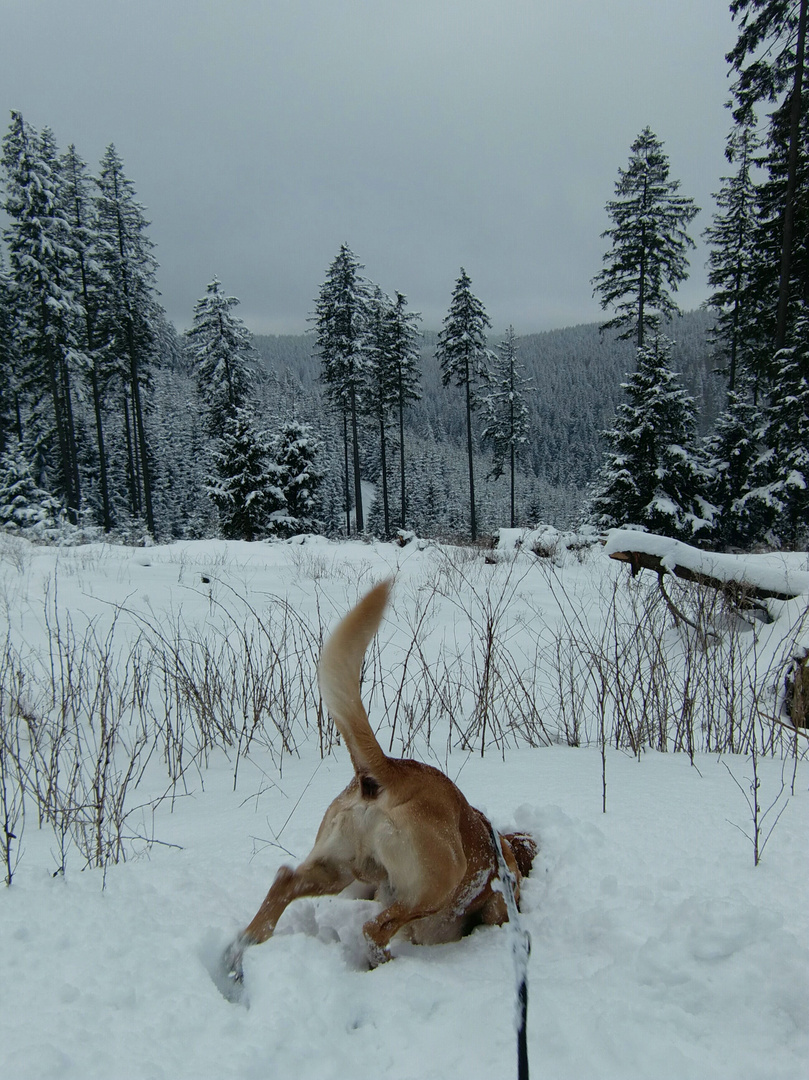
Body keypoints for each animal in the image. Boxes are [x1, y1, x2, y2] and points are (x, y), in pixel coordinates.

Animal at [223, 583, 533, 989]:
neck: (503, 846)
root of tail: (390, 771)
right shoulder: (495, 903)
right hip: (436, 883)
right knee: (375, 928)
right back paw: (383, 964)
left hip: (336, 868)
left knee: (284, 881)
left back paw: (242, 949)